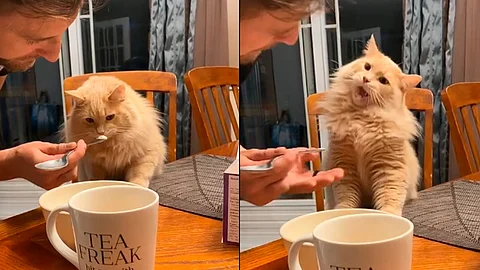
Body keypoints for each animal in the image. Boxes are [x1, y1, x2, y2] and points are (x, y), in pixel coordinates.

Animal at [320, 35, 422, 215]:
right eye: (367, 67)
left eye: (383, 80)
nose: (366, 79)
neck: (360, 120)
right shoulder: (344, 164)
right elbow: (346, 197)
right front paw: (343, 212)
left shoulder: (389, 167)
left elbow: (389, 197)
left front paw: (388, 215)